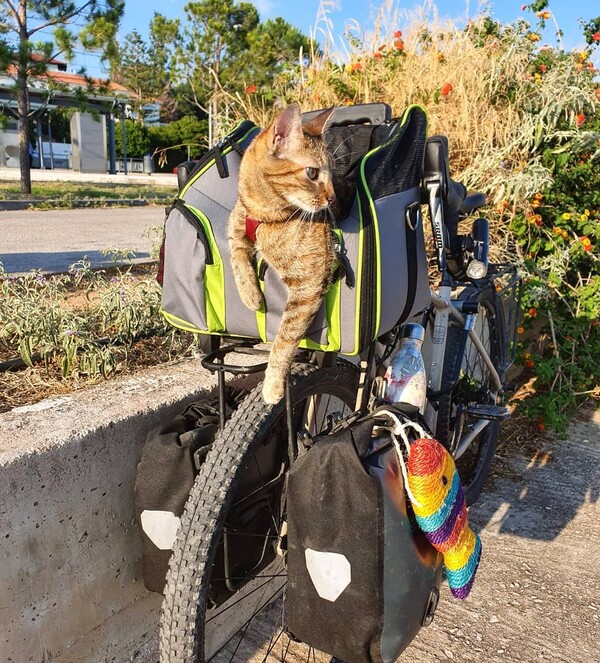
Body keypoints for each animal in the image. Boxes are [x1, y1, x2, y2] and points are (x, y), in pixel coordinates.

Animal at [229, 104, 338, 404]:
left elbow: (284, 339)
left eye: (333, 174)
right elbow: (237, 259)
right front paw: (251, 295)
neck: (264, 215)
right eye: (312, 173)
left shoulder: (307, 287)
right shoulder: (235, 233)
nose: (333, 198)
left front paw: (273, 384)